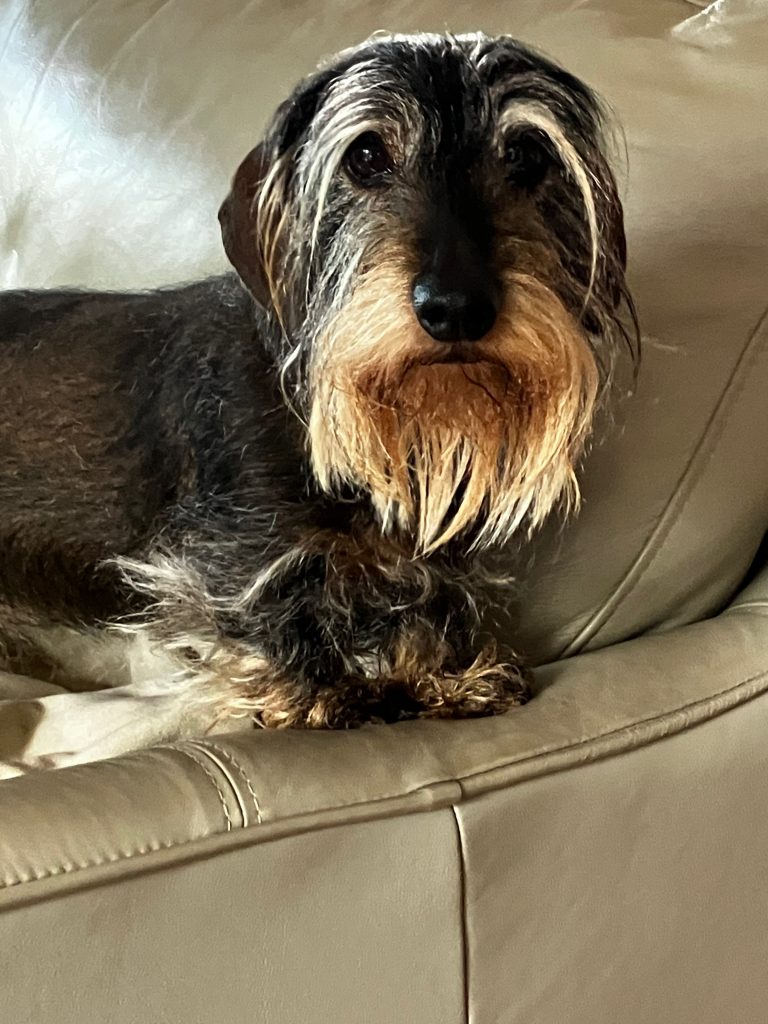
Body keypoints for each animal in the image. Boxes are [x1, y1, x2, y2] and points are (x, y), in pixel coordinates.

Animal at [0, 29, 638, 770]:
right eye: (364, 155)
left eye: (527, 154)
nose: (455, 308)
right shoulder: (229, 557)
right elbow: (263, 612)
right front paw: (320, 690)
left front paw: (442, 673)